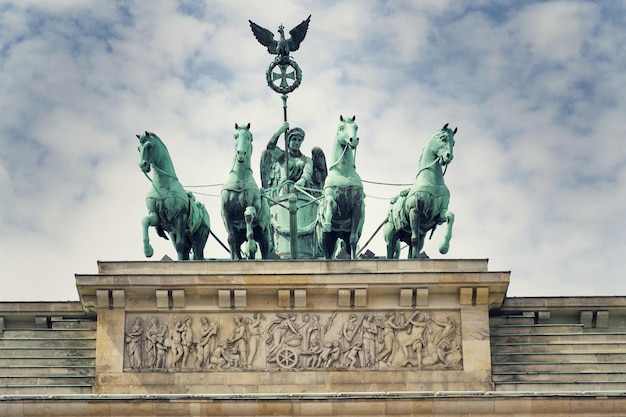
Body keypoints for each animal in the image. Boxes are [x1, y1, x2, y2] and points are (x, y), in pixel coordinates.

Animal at [136, 131, 210, 260]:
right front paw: (148, 250)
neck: (163, 185)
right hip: (177, 235)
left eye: (149, 146)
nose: (142, 165)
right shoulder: (156, 216)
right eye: (138, 148)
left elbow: (180, 246)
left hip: (199, 238)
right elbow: (145, 221)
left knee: (197, 253)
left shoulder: (180, 217)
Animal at [221, 123, 272, 258]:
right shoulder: (226, 213)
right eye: (235, 136)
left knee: (265, 251)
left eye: (249, 137)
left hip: (264, 233)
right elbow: (231, 238)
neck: (239, 179)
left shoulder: (252, 206)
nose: (241, 153)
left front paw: (251, 245)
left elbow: (248, 216)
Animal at [314, 114, 364, 256]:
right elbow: (331, 203)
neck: (343, 172)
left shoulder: (357, 206)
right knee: (327, 255)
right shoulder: (331, 197)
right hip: (325, 240)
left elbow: (353, 241)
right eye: (341, 127)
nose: (353, 140)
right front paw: (327, 222)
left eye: (356, 127)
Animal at [380, 123, 454, 258]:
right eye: (443, 138)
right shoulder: (414, 211)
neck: (432, 182)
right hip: (390, 235)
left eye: (454, 142)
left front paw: (444, 247)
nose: (449, 156)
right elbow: (415, 240)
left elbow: (451, 216)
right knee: (390, 251)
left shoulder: (438, 214)